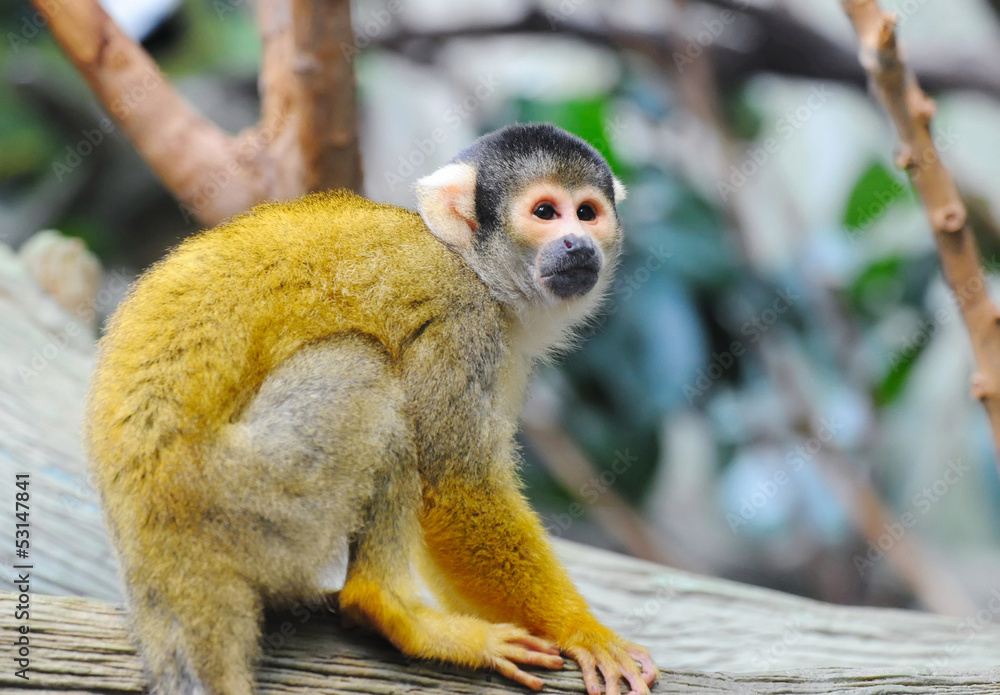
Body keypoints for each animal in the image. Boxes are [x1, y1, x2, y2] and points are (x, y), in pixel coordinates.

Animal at [85, 122, 659, 695]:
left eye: (586, 212)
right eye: (545, 212)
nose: (577, 242)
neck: (471, 266)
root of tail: (152, 546)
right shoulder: (462, 319)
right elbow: (457, 488)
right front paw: (583, 631)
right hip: (238, 498)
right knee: (366, 371)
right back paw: (387, 608)